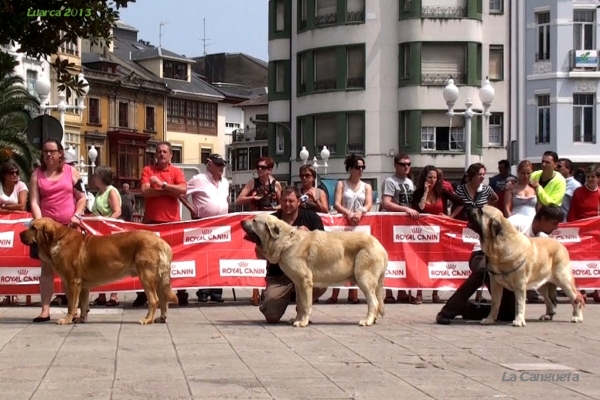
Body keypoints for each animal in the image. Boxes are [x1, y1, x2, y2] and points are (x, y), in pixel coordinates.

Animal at [20, 219, 178, 324]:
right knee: (163, 299)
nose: (21, 234)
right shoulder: (82, 286)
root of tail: (161, 242)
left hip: (146, 276)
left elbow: (71, 304)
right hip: (159, 279)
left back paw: (147, 319)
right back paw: (161, 318)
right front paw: (81, 319)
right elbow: (83, 304)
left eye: (33, 228)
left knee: (154, 300)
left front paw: (67, 319)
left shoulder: (72, 282)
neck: (58, 239)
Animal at [240, 214, 390, 326]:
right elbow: (300, 304)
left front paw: (303, 322)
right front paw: (297, 319)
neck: (284, 240)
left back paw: (367, 321)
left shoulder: (305, 282)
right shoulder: (298, 283)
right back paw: (373, 320)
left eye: (254, 220)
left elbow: (306, 304)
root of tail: (380, 245)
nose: (241, 221)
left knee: (374, 302)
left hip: (363, 278)